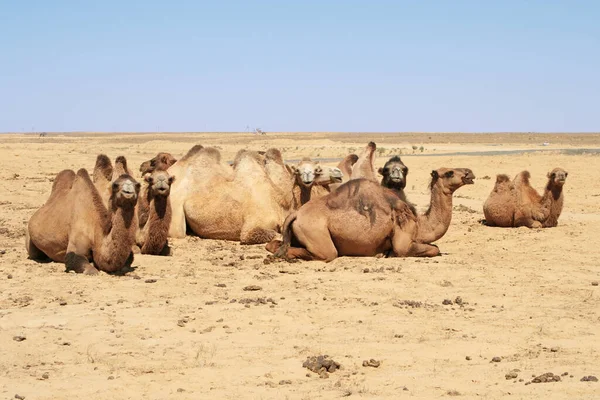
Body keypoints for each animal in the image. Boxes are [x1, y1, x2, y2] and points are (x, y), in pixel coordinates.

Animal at [270, 166, 476, 262]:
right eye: (449, 173)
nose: (469, 173)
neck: (420, 223)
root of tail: (296, 214)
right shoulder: (403, 243)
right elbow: (434, 249)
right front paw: (387, 253)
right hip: (316, 233)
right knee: (326, 253)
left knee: (274, 245)